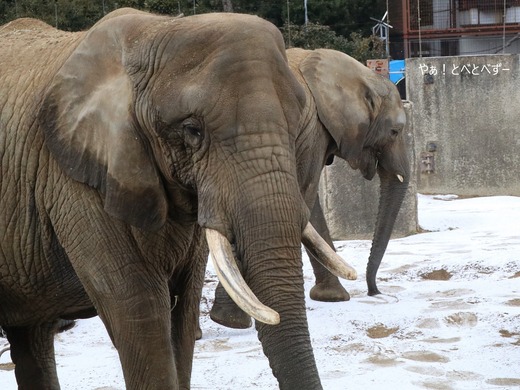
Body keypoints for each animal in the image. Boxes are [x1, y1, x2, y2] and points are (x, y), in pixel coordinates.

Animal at [0, 9, 354, 390]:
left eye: (297, 127)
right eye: (192, 131)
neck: (153, 30)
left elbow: (181, 315)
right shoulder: (72, 183)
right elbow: (139, 311)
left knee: (32, 335)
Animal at [209, 47, 408, 330]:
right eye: (395, 131)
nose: (375, 291)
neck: (360, 74)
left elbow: (308, 207)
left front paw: (333, 297)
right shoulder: (312, 132)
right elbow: (304, 194)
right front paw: (231, 320)